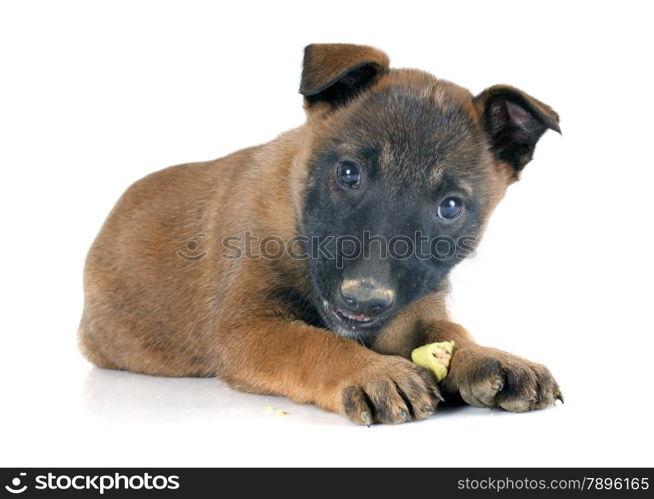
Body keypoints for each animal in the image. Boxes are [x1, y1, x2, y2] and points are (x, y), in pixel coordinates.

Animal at [80, 44, 564, 426]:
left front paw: (491, 356)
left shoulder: (412, 311)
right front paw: (372, 371)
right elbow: (313, 341)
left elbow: (450, 332)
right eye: (349, 173)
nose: (364, 298)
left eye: (450, 207)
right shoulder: (247, 327)